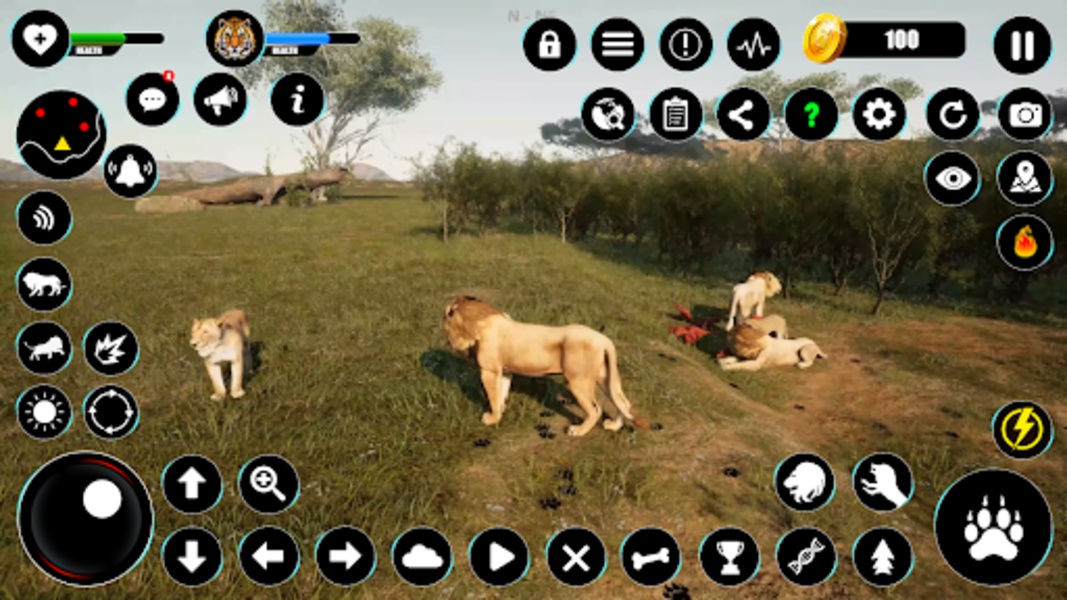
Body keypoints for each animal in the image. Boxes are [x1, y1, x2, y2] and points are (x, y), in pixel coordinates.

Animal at [443, 296, 648, 436]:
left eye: (446, 318)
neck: (483, 318)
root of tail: (604, 339)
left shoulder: (488, 372)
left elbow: (493, 397)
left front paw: (491, 419)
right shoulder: (505, 372)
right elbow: (501, 395)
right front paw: (499, 412)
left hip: (579, 381)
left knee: (595, 409)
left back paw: (578, 431)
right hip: (604, 378)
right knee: (623, 402)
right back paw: (613, 426)